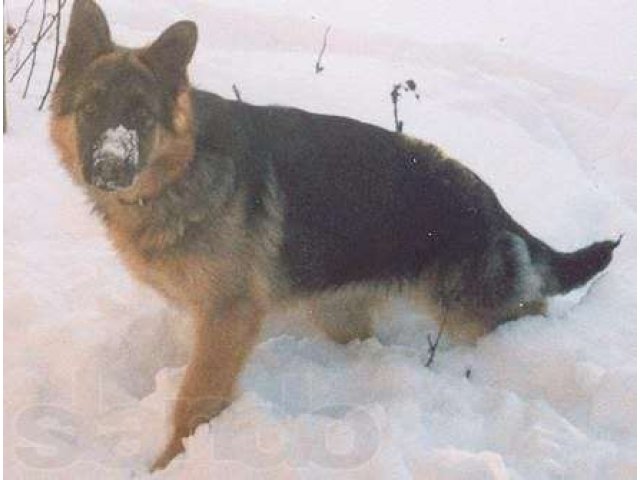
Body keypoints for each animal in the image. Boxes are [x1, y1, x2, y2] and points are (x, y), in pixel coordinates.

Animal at [51, 0, 620, 472]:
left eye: (140, 117)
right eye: (90, 111)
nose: (108, 167)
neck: (182, 170)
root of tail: (490, 202)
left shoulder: (228, 316)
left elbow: (195, 400)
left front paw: (171, 462)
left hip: (468, 311)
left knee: (529, 313)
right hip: (341, 314)